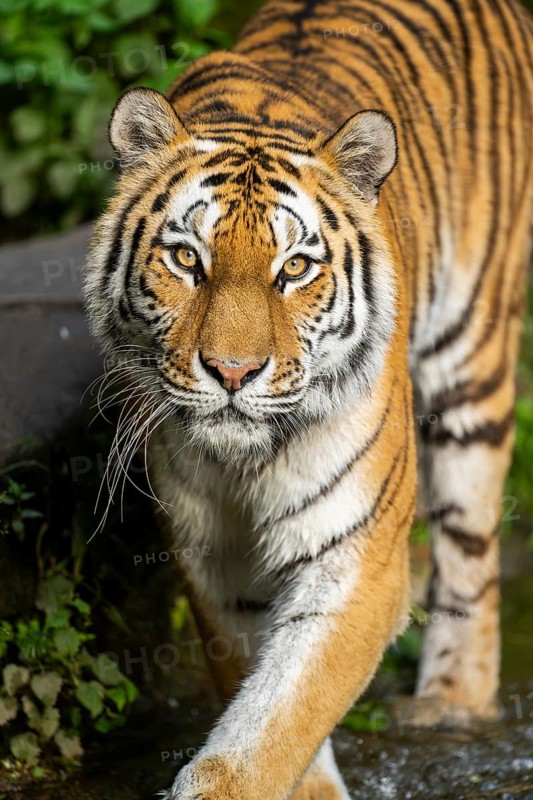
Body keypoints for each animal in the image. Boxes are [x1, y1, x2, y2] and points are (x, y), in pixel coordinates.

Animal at [84, 0, 533, 797]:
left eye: (294, 268)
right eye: (186, 258)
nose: (232, 372)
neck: (241, 464)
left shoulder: (355, 556)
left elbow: (279, 719)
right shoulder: (213, 561)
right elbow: (268, 705)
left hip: (472, 357)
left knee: (470, 550)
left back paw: (451, 702)